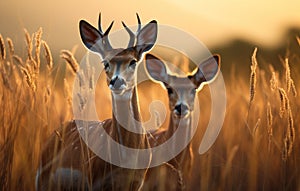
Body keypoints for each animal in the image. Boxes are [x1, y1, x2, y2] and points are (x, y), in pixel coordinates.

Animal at [35, 13, 180, 191]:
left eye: (133, 61)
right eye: (105, 62)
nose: (116, 81)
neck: (127, 157)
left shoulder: (136, 182)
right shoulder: (93, 180)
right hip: (42, 179)